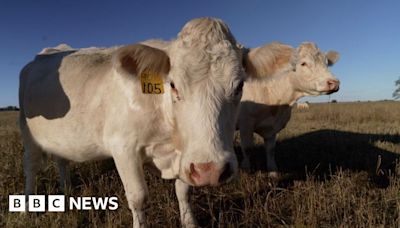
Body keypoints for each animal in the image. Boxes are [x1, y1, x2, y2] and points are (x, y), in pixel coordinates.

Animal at [20, 18, 247, 228]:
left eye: (240, 86)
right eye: (173, 85)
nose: (210, 170)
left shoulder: (185, 156)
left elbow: (183, 191)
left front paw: (189, 223)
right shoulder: (123, 147)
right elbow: (138, 198)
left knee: (61, 159)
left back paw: (65, 191)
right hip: (28, 134)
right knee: (30, 167)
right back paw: (28, 208)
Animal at [239, 41, 340, 176]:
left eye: (327, 63)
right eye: (303, 63)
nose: (334, 83)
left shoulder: (272, 128)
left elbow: (270, 150)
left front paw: (273, 172)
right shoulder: (245, 123)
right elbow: (247, 148)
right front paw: (245, 170)